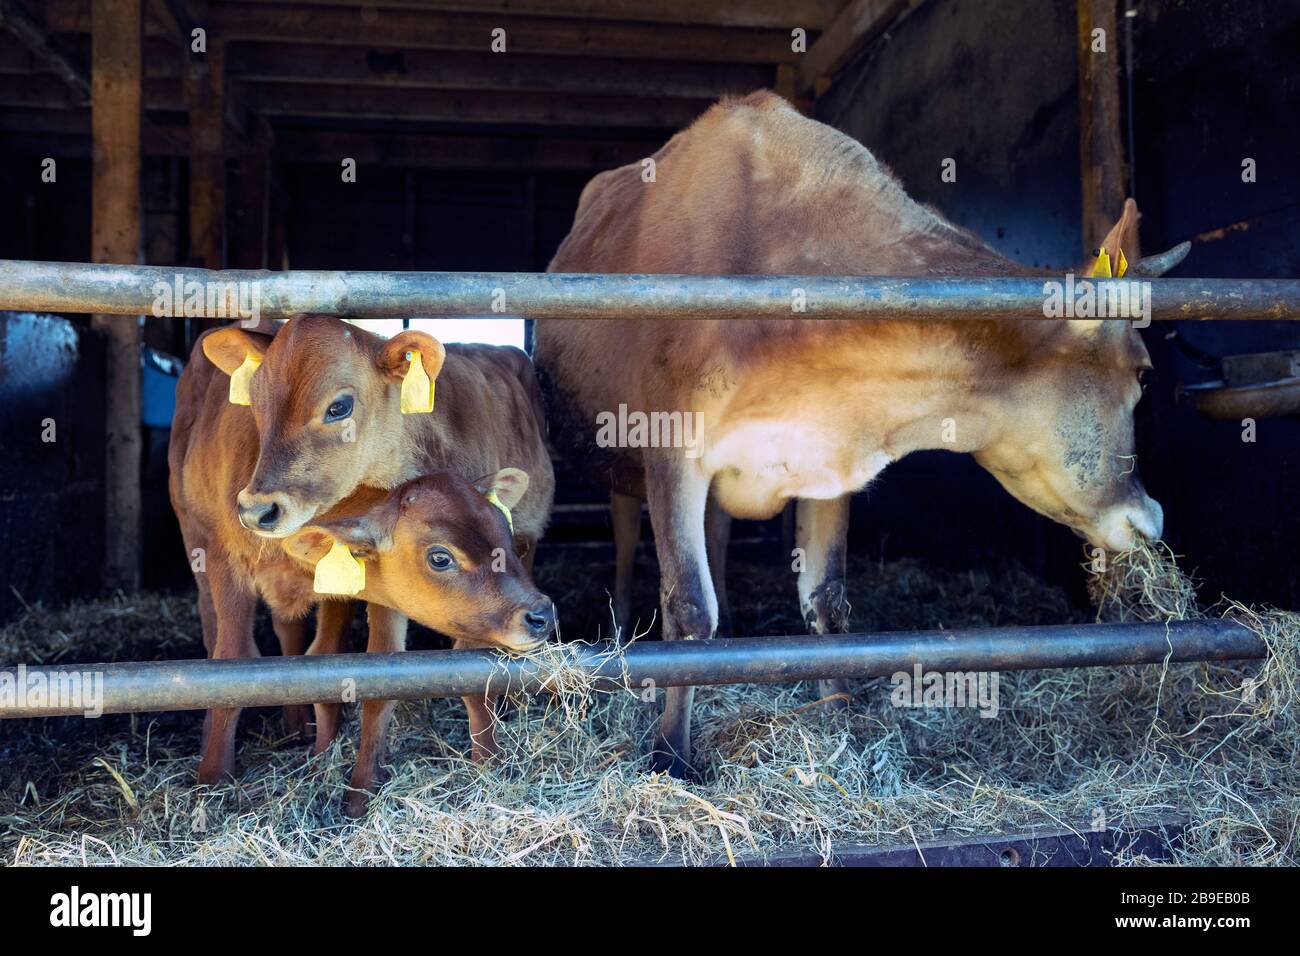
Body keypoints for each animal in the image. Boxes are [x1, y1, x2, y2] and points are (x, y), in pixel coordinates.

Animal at [168, 315, 555, 803]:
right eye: (255, 401)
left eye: (339, 407)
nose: (257, 510)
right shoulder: (225, 560)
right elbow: (231, 660)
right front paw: (214, 777)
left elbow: (372, 667)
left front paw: (484, 764)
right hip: (194, 540)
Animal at [535, 90, 1187, 778]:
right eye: (1144, 371)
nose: (1151, 517)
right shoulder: (671, 452)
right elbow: (687, 607)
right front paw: (671, 756)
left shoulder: (827, 458)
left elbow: (826, 602)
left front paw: (835, 722)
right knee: (629, 541)